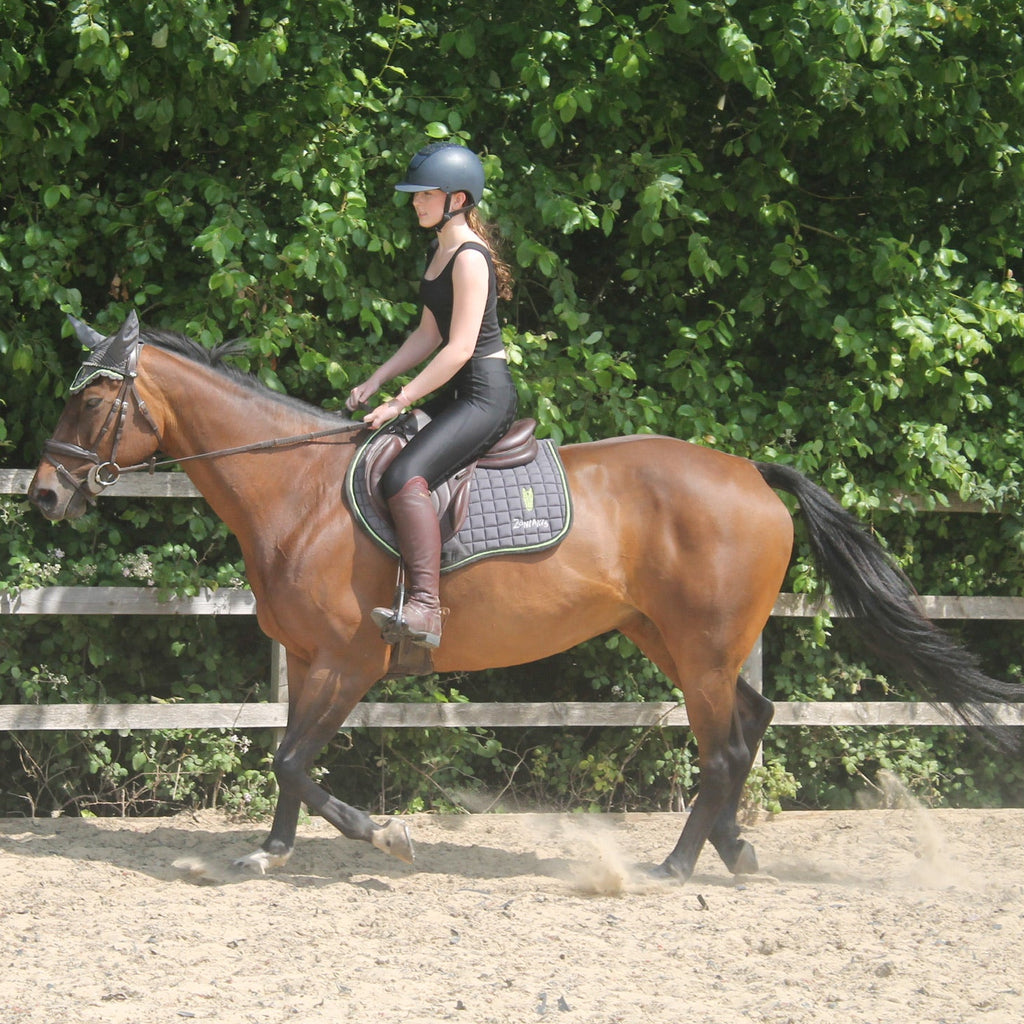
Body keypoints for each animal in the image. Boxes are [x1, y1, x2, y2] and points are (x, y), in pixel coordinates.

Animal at [27, 312, 1022, 882]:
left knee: (724, 744)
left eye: (94, 405)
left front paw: (384, 837)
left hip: (700, 646)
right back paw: (731, 849)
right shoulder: (311, 661)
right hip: (669, 638)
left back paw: (676, 864)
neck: (298, 491)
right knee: (751, 721)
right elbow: (286, 763)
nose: (43, 495)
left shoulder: (350, 660)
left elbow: (293, 762)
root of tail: (750, 472)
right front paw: (269, 852)